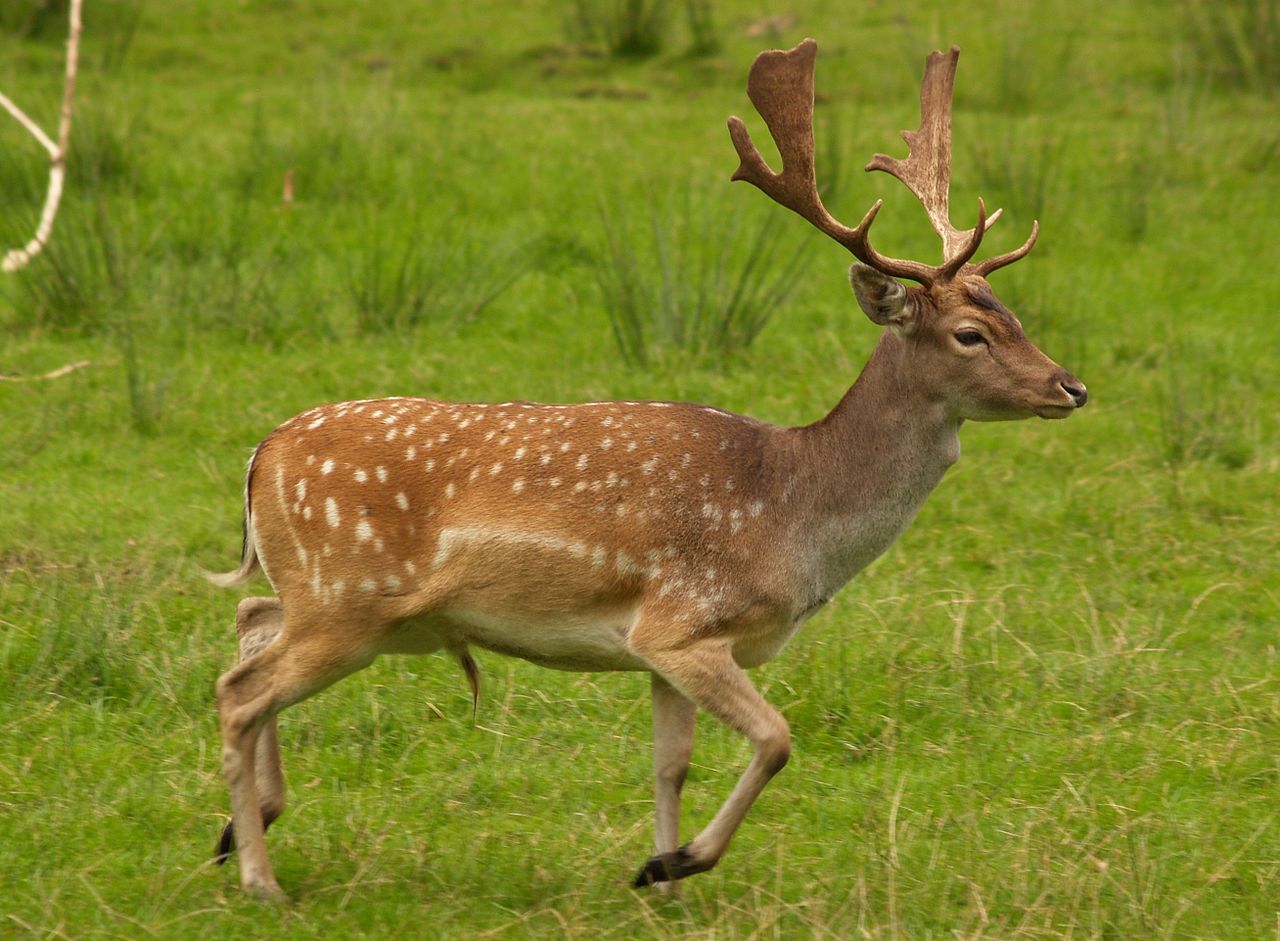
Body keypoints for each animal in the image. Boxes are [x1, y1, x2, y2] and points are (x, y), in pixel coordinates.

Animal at [208, 38, 1086, 902]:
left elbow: (671, 764)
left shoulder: (662, 649)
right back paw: (259, 876)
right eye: (971, 333)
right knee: (240, 690)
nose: (1071, 386)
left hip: (341, 601)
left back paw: (239, 828)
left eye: (1016, 315)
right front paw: (677, 862)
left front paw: (660, 880)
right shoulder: (684, 621)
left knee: (251, 620)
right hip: (347, 599)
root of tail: (260, 453)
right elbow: (776, 738)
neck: (794, 514)